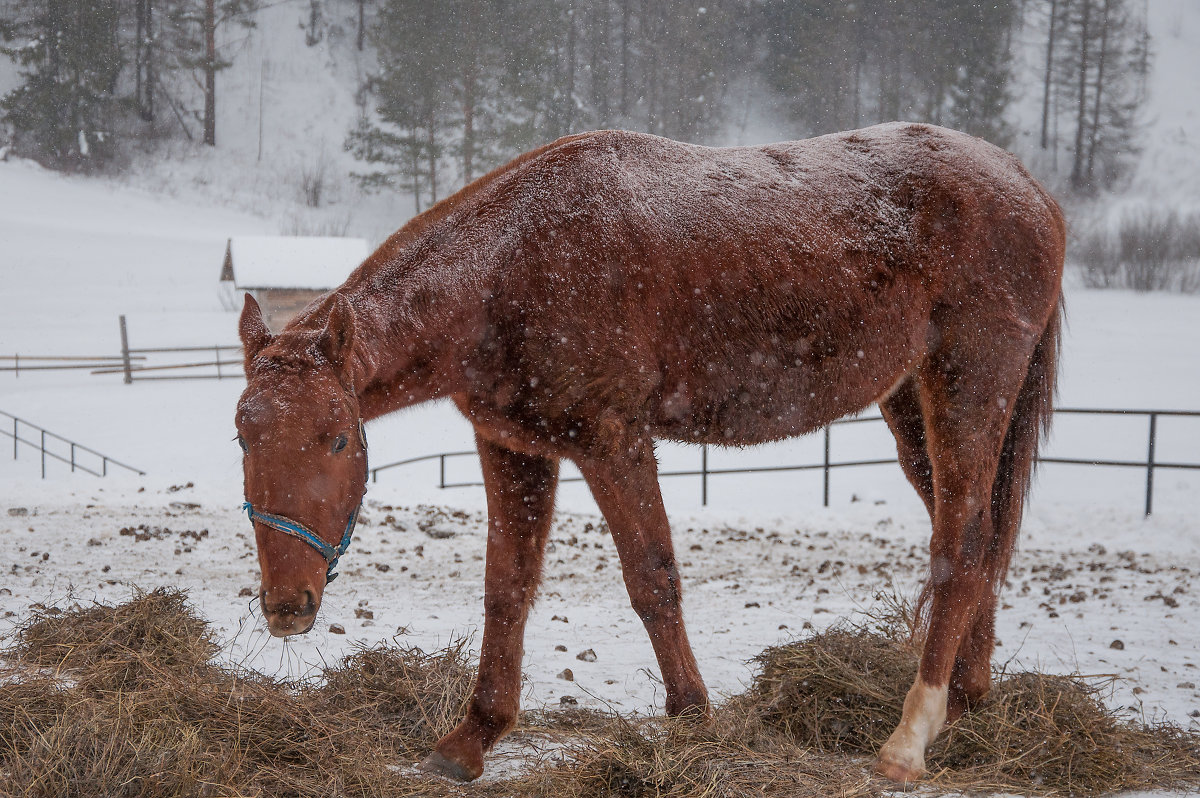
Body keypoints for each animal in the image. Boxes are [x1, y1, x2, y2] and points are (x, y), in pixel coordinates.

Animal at [238, 124, 1065, 782]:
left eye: (338, 437)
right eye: (243, 435)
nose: (287, 607)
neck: (514, 264)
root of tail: (1030, 187)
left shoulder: (614, 442)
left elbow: (652, 579)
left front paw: (694, 717)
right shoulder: (513, 448)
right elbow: (507, 589)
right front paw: (473, 737)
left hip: (967, 384)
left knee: (960, 542)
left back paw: (909, 738)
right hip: (910, 401)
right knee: (978, 537)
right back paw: (967, 703)